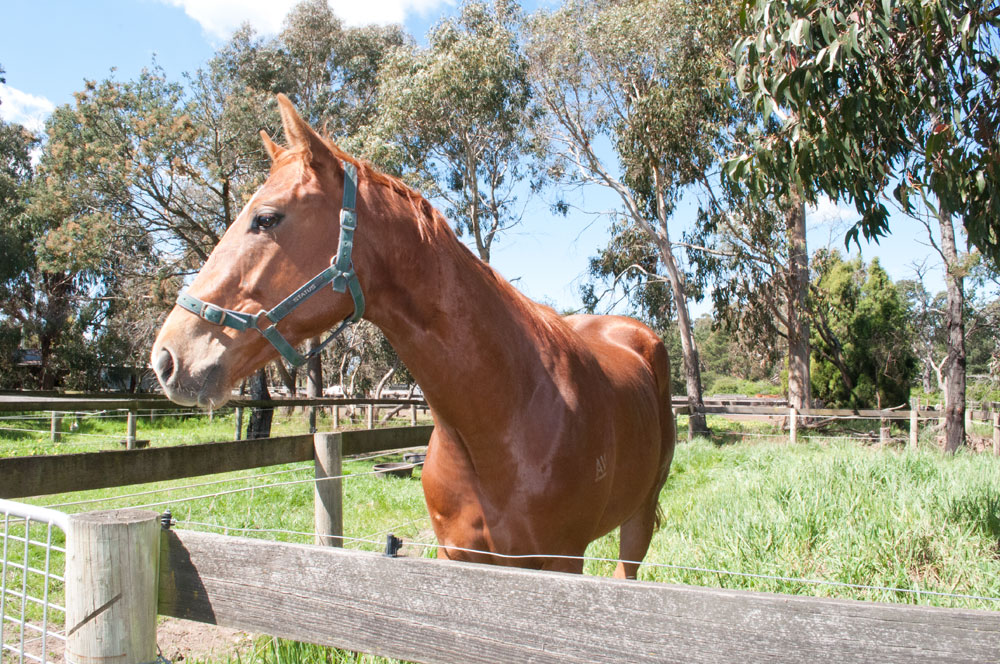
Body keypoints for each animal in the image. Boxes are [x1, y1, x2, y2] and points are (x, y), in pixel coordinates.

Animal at [148, 96, 676, 580]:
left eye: (267, 218)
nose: (167, 359)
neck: (508, 414)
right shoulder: (457, 555)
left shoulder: (561, 561)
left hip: (638, 519)